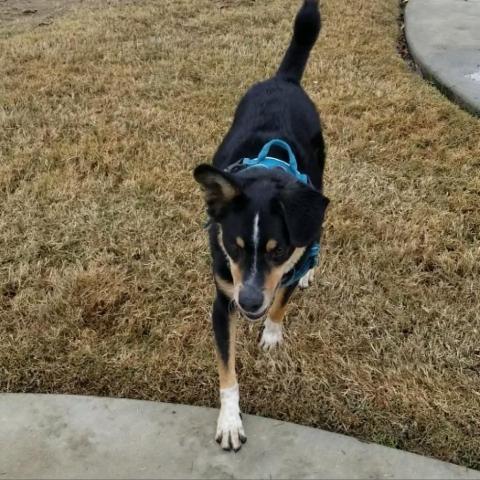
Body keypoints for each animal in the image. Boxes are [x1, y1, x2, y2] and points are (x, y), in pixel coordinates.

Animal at [193, 0, 328, 452]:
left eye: (278, 250)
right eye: (232, 247)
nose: (249, 302)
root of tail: (282, 80)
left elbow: (283, 296)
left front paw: (271, 332)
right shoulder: (222, 301)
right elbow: (227, 371)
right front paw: (230, 421)